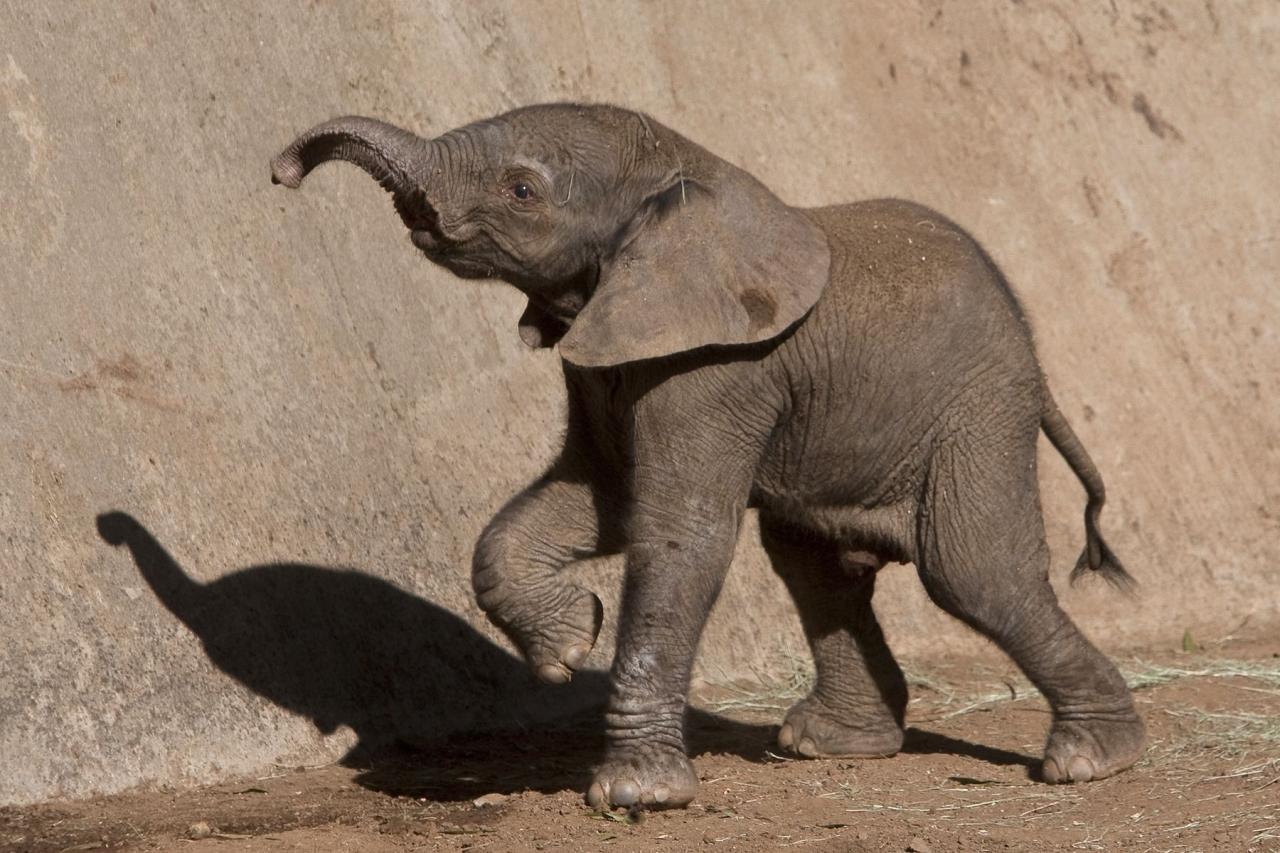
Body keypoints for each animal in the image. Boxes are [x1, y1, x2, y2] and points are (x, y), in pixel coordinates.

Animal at [272, 103, 1152, 809]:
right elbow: (595, 499)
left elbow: (678, 532)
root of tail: (1035, 358)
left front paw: (635, 794)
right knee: (814, 568)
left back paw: (1092, 762)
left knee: (971, 570)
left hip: (978, 410)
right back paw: (829, 744)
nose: (280, 173)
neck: (681, 167)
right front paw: (568, 644)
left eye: (523, 190)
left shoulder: (718, 368)